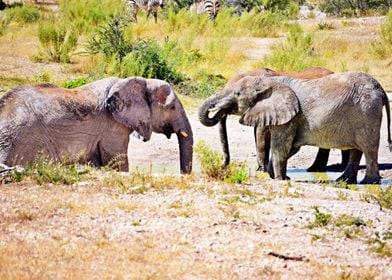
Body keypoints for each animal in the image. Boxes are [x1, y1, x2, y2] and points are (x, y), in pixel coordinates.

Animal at [199, 72, 392, 184]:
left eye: (237, 94)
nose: (223, 166)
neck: (269, 81)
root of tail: (381, 89)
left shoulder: (290, 117)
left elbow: (281, 147)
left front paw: (279, 180)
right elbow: (290, 147)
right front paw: (282, 177)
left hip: (367, 111)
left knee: (368, 148)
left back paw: (369, 183)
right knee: (356, 150)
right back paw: (343, 181)